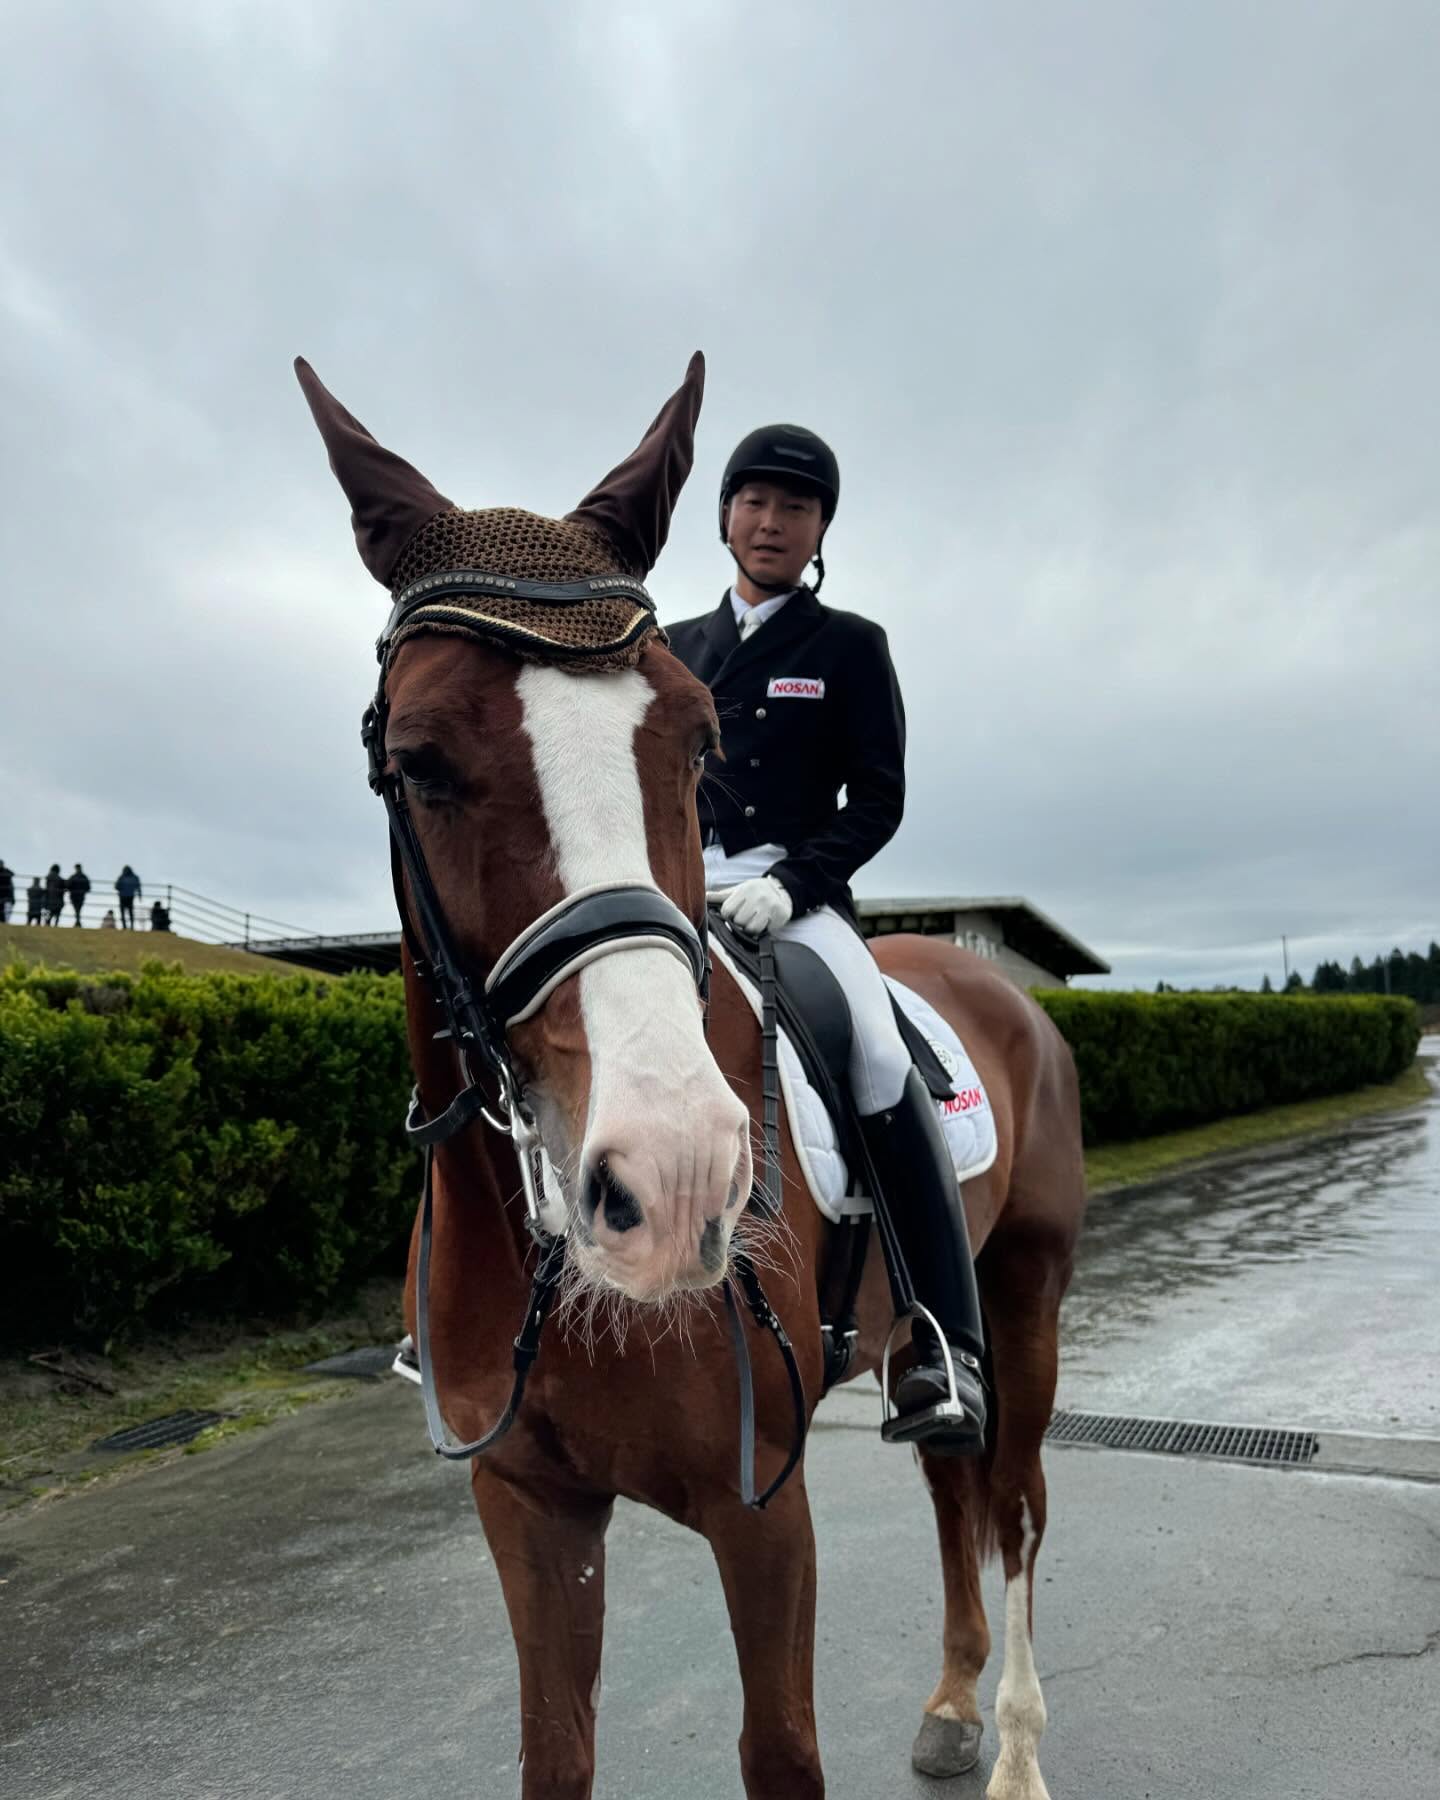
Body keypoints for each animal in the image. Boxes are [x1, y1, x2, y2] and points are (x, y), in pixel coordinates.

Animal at [297, 349, 1087, 1799]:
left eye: (701, 740)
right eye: (416, 763)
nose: (672, 1181)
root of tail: (1000, 983)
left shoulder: (758, 1504)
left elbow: (780, 1754)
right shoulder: (531, 1507)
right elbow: (555, 1756)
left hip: (1026, 1297)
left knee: (1014, 1507)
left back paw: (1011, 1746)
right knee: (955, 1488)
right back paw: (952, 1703)